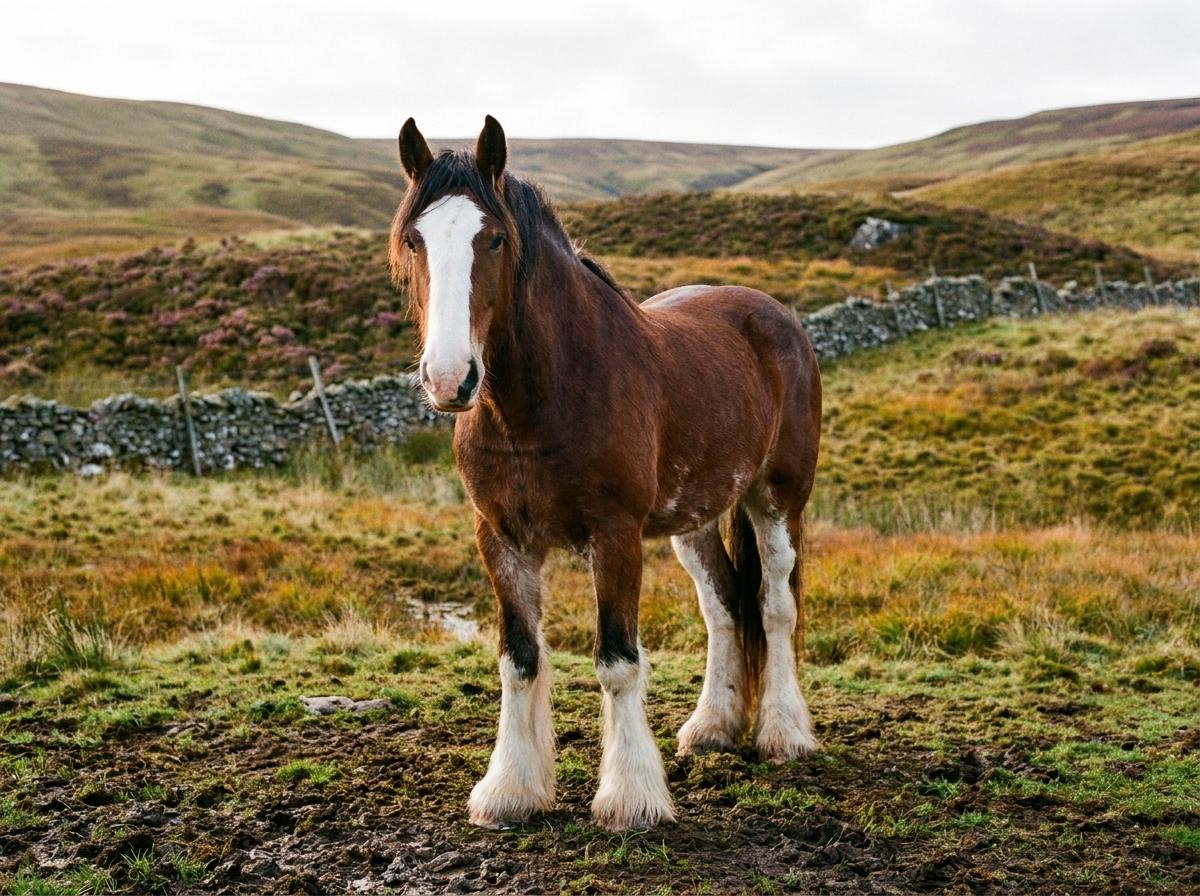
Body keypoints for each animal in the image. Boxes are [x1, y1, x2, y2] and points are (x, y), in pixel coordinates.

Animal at [389, 116, 822, 832]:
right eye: (413, 240)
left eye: (495, 238)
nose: (450, 379)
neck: (541, 404)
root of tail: (773, 315)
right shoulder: (500, 538)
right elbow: (519, 659)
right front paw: (511, 790)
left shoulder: (614, 535)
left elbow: (618, 661)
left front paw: (631, 798)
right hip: (692, 518)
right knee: (724, 606)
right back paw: (712, 727)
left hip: (777, 497)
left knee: (775, 604)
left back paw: (785, 733)